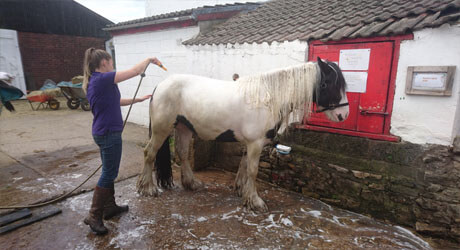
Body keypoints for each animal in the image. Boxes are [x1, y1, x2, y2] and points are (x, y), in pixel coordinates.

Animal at [137, 57, 348, 212]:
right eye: (328, 83)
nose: (343, 115)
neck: (268, 98)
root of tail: (160, 86)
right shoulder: (255, 143)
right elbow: (253, 171)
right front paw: (255, 202)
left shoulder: (252, 143)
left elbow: (244, 166)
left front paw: (242, 191)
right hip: (162, 129)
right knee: (149, 153)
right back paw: (148, 188)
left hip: (183, 128)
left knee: (181, 153)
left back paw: (191, 183)